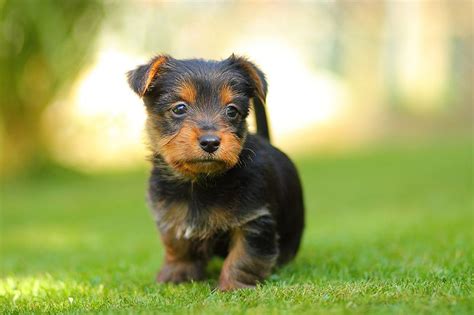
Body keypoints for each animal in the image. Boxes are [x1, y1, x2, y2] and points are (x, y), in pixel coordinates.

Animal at [127, 54, 304, 292]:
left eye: (232, 111)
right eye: (179, 108)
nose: (210, 142)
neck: (202, 180)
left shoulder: (254, 220)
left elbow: (243, 257)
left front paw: (233, 287)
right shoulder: (172, 214)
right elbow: (177, 246)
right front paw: (176, 277)